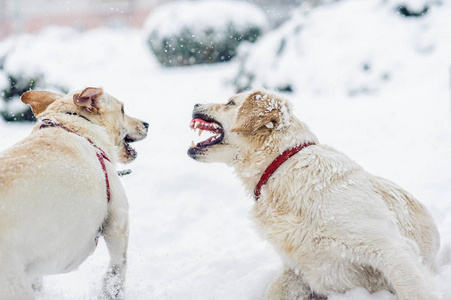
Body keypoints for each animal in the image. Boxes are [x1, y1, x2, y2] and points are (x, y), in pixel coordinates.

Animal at [0, 88, 148, 298]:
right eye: (122, 109)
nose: (147, 124)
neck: (75, 126)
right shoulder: (118, 218)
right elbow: (118, 265)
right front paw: (112, 291)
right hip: (12, 282)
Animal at [187, 90, 442, 300]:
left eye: (230, 103)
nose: (195, 102)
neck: (281, 167)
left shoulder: (392, 248)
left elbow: (414, 290)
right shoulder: (300, 270)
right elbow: (276, 290)